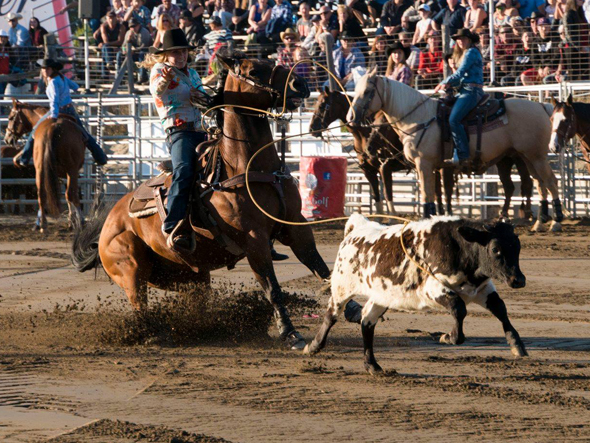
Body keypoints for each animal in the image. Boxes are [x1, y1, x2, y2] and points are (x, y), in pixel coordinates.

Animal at [3, 99, 88, 232]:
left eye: (11, 117)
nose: (7, 139)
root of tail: (53, 128)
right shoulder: (70, 172)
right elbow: (71, 194)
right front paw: (75, 220)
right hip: (71, 170)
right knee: (71, 193)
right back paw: (78, 222)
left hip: (40, 169)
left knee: (41, 193)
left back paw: (43, 224)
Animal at [71, 52, 358, 350]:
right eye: (254, 71)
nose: (300, 84)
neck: (245, 166)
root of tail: (108, 225)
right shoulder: (254, 240)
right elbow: (273, 289)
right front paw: (290, 333)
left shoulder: (295, 227)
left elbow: (322, 269)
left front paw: (353, 311)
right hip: (131, 269)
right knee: (140, 304)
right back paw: (152, 334)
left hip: (189, 277)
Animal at [306, 215, 528, 374]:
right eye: (495, 249)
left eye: (517, 246)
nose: (518, 280)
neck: (459, 250)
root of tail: (357, 228)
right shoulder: (433, 289)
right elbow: (459, 309)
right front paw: (448, 337)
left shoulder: (482, 289)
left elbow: (500, 309)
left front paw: (516, 345)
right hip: (342, 287)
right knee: (331, 315)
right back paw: (313, 346)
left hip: (381, 297)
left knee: (367, 322)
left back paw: (372, 365)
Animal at [310, 87, 458, 216]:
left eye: (322, 105)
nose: (312, 128)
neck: (364, 132)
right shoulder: (368, 170)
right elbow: (376, 196)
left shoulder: (385, 167)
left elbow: (388, 194)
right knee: (437, 191)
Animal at [350, 71, 568, 231]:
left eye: (367, 91)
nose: (352, 116)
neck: (420, 117)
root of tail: (541, 106)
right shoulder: (436, 167)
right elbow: (435, 194)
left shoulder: (424, 163)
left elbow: (427, 195)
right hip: (526, 157)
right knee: (539, 183)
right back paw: (540, 221)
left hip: (536, 156)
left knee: (550, 181)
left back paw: (556, 220)